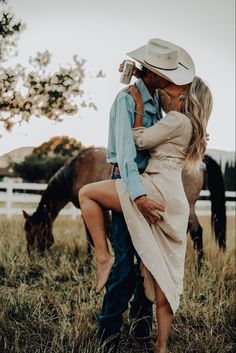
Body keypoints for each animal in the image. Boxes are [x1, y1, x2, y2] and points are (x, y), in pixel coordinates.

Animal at [23, 144, 226, 262]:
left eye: (34, 234)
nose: (32, 258)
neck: (76, 171)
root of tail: (199, 159)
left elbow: (97, 235)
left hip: (186, 207)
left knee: (196, 231)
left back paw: (199, 266)